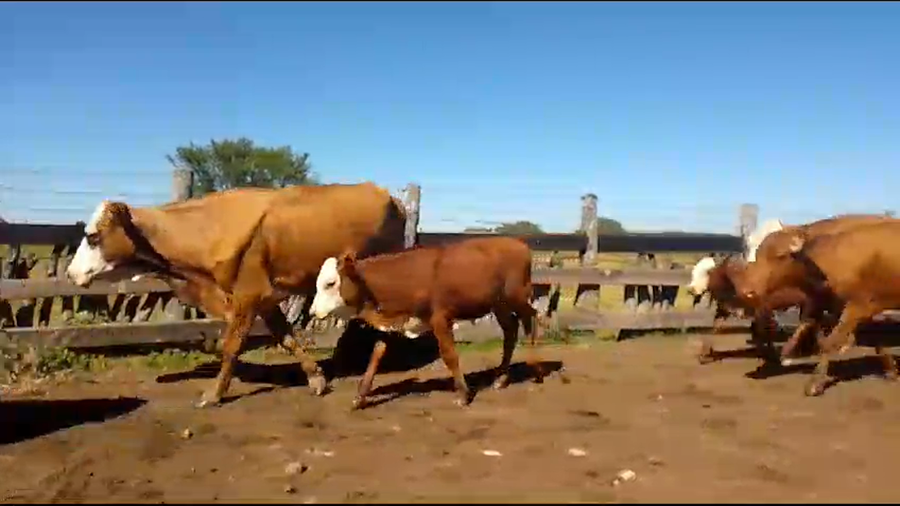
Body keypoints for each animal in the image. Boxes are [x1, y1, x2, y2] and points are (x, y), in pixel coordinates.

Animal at [64, 182, 407, 408]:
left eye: (92, 237)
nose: (70, 273)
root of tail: (391, 197)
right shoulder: (265, 300)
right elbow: (287, 338)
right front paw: (316, 379)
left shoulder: (247, 295)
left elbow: (231, 345)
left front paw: (214, 394)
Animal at [309, 236, 542, 409]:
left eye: (330, 283)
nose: (312, 312)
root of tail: (519, 244)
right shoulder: (395, 321)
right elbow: (375, 357)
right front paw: (360, 397)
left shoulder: (440, 319)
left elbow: (449, 356)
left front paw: (463, 394)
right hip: (499, 305)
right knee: (511, 330)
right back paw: (502, 377)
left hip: (517, 297)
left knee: (532, 318)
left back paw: (537, 370)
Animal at [739, 219, 900, 396]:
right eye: (757, 254)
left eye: (780, 256)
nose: (746, 291)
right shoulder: (846, 308)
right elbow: (877, 341)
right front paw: (891, 370)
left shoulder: (857, 307)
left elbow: (828, 343)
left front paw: (815, 382)